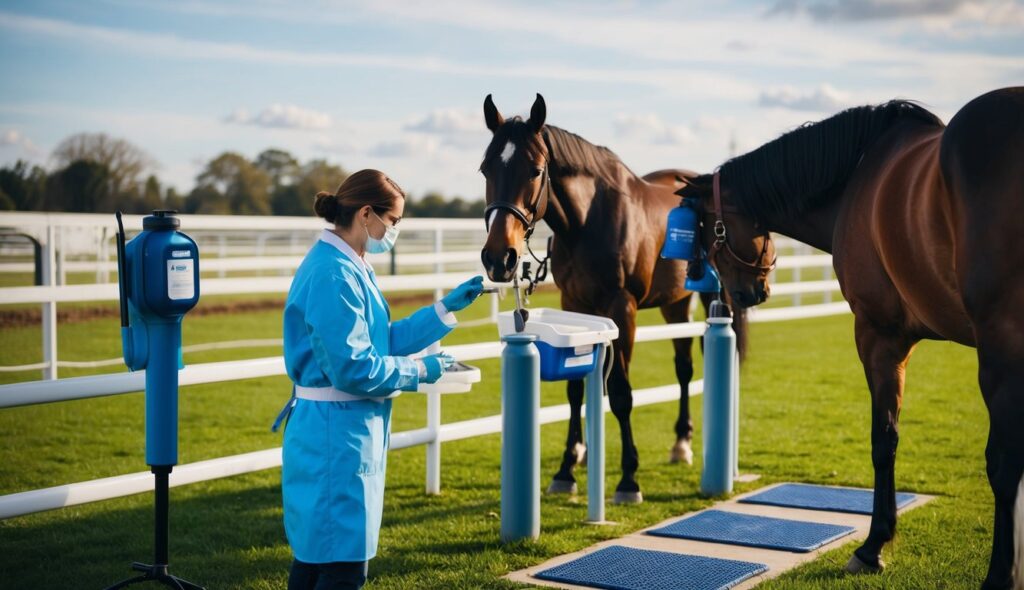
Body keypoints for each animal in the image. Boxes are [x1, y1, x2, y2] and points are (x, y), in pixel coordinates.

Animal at [475, 94, 749, 503]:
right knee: (683, 367)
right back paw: (681, 443)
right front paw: (566, 470)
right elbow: (575, 390)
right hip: (675, 303)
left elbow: (620, 392)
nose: (498, 258)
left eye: (536, 171)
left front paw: (628, 479)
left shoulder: (623, 309)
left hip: (713, 298)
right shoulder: (575, 305)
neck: (588, 221)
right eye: (485, 169)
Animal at [679, 88, 1024, 590]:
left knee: (1004, 463)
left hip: (999, 352)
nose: (746, 294)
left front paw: (872, 546)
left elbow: (884, 439)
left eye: (706, 229)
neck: (854, 178)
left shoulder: (878, 336)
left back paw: (998, 575)